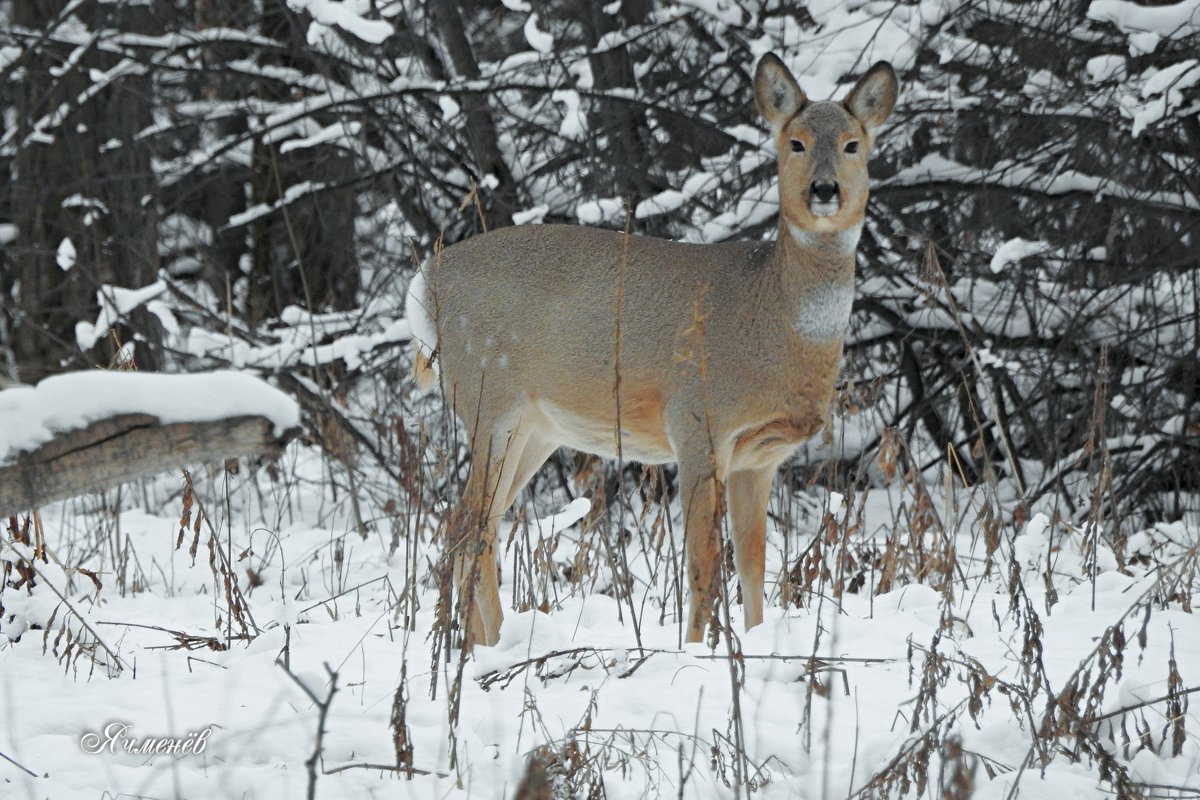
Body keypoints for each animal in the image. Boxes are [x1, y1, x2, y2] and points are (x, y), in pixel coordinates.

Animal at [408, 53, 897, 647]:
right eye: (796, 142)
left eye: (853, 144)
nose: (824, 191)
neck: (769, 319)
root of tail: (425, 284)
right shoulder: (696, 423)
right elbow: (703, 564)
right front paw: (695, 650)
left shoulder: (760, 458)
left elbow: (754, 567)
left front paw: (755, 643)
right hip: (489, 399)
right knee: (467, 522)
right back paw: (500, 643)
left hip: (534, 429)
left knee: (474, 522)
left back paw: (480, 645)